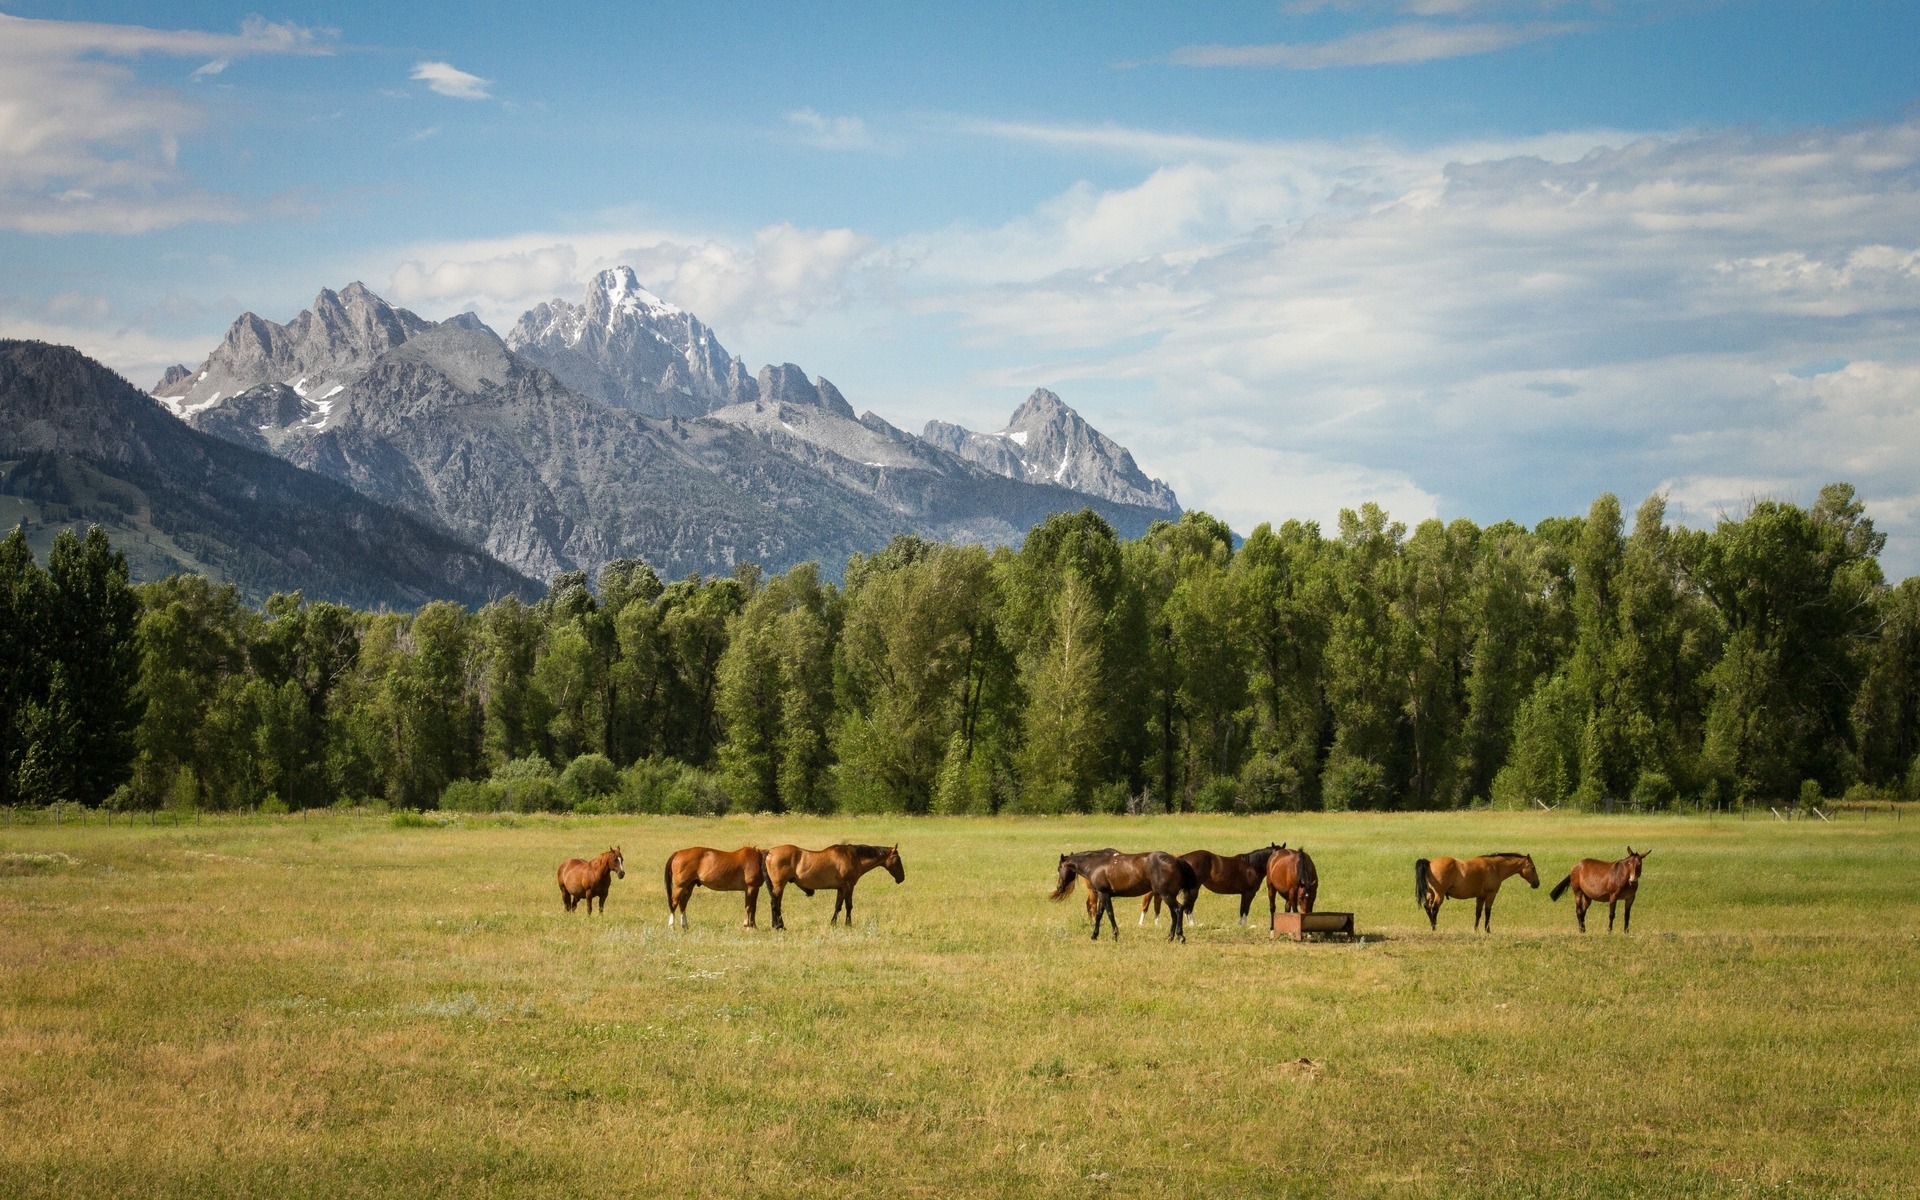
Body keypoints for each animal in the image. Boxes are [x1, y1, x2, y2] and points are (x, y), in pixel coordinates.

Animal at [764, 837, 906, 933]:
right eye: (898, 859)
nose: (902, 878)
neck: (853, 857)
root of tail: (769, 852)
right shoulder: (849, 887)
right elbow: (849, 906)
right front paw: (848, 924)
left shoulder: (841, 889)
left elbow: (838, 906)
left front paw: (833, 923)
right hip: (779, 886)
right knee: (775, 904)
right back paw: (780, 926)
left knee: (775, 904)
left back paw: (777, 925)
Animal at [1052, 848, 1198, 940]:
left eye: (1059, 868)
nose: (1059, 888)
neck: (1096, 864)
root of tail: (1176, 860)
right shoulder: (1103, 895)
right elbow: (1099, 915)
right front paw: (1094, 935)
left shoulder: (1103, 894)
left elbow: (1110, 914)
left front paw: (1115, 935)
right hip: (1168, 895)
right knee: (1175, 913)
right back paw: (1170, 937)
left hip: (1166, 895)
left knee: (1178, 910)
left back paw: (1180, 936)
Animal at [1128, 840, 1282, 925]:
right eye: (1276, 855)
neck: (1252, 865)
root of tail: (1181, 859)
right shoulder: (1248, 893)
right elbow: (1244, 910)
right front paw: (1243, 925)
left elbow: (1242, 909)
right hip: (1193, 889)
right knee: (1188, 907)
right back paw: (1192, 924)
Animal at [1413, 848, 1543, 933]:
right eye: (1533, 867)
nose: (1537, 884)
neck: (1495, 867)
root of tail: (1429, 863)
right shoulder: (1491, 895)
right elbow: (1487, 912)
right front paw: (1487, 930)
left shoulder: (1480, 897)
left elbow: (1478, 913)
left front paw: (1475, 930)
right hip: (1439, 895)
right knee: (1434, 909)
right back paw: (1434, 928)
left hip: (1431, 894)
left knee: (1427, 907)